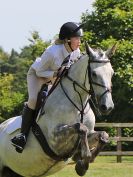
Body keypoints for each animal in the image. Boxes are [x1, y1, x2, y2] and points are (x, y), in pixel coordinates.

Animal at [0, 43, 115, 177]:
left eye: (112, 73)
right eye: (94, 74)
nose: (108, 106)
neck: (78, 105)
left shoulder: (89, 134)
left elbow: (103, 135)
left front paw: (82, 163)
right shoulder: (55, 139)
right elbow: (81, 127)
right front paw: (82, 162)